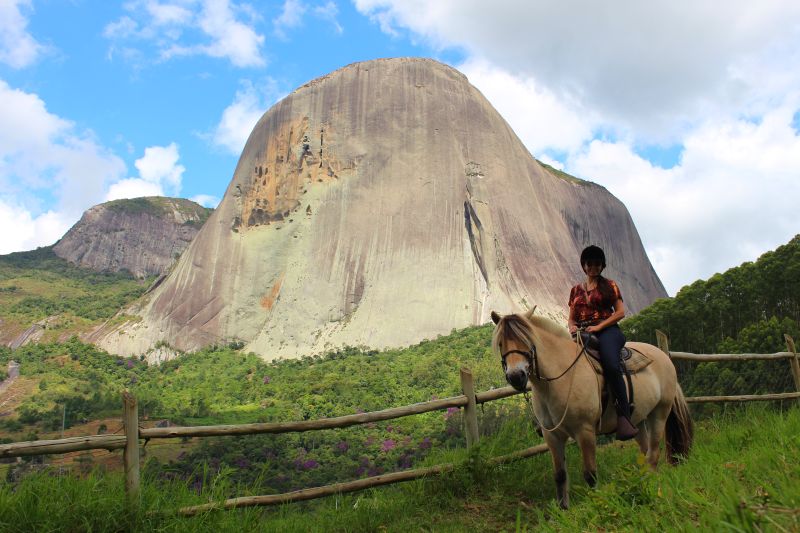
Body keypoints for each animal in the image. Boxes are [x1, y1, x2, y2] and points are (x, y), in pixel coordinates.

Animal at [490, 308, 692, 508]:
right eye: (500, 344)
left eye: (527, 340)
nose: (516, 376)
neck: (561, 376)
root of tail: (663, 356)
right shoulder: (552, 436)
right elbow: (560, 475)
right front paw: (564, 509)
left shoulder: (585, 431)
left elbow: (590, 474)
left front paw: (596, 502)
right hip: (638, 420)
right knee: (645, 451)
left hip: (659, 413)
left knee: (653, 453)